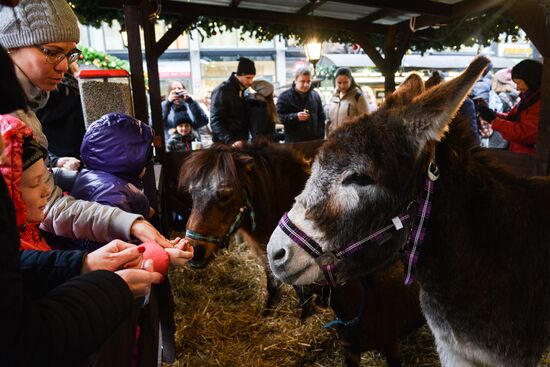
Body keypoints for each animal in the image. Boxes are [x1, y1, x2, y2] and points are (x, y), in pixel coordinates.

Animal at [180, 142, 320, 320]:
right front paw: (267, 313)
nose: (195, 252)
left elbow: (302, 288)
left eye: (226, 195)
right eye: (192, 193)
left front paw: (306, 317)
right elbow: (272, 284)